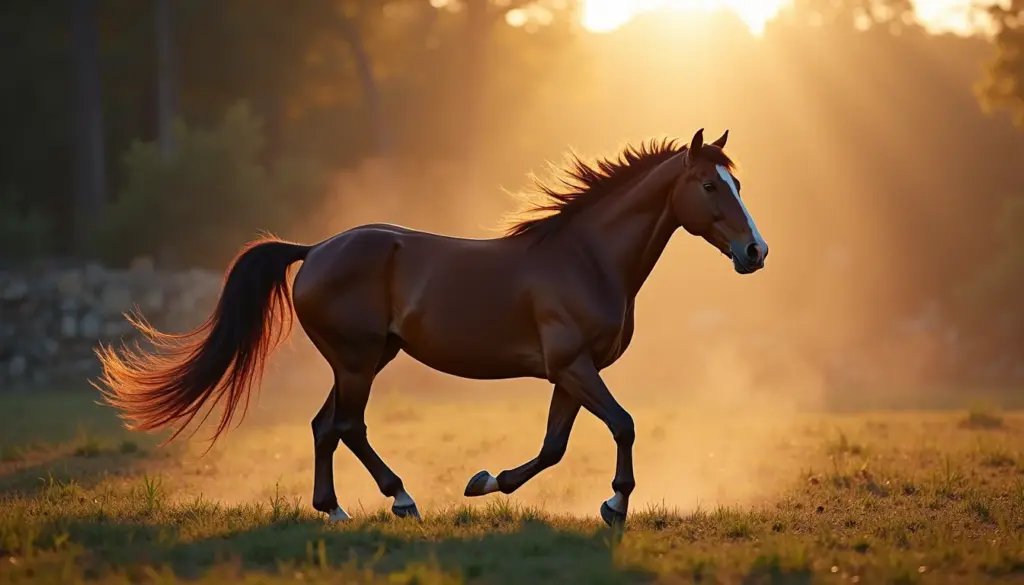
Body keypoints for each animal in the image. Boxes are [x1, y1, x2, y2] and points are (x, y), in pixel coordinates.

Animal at [93, 127, 769, 527]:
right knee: (347, 426)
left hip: (365, 359)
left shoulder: (571, 372)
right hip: (358, 361)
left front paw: (488, 481)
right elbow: (622, 425)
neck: (586, 258)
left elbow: (554, 447)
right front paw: (613, 505)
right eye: (709, 185)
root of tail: (315, 250)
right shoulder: (573, 366)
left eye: (738, 182)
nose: (755, 252)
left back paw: (337, 510)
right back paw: (398, 500)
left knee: (324, 427)